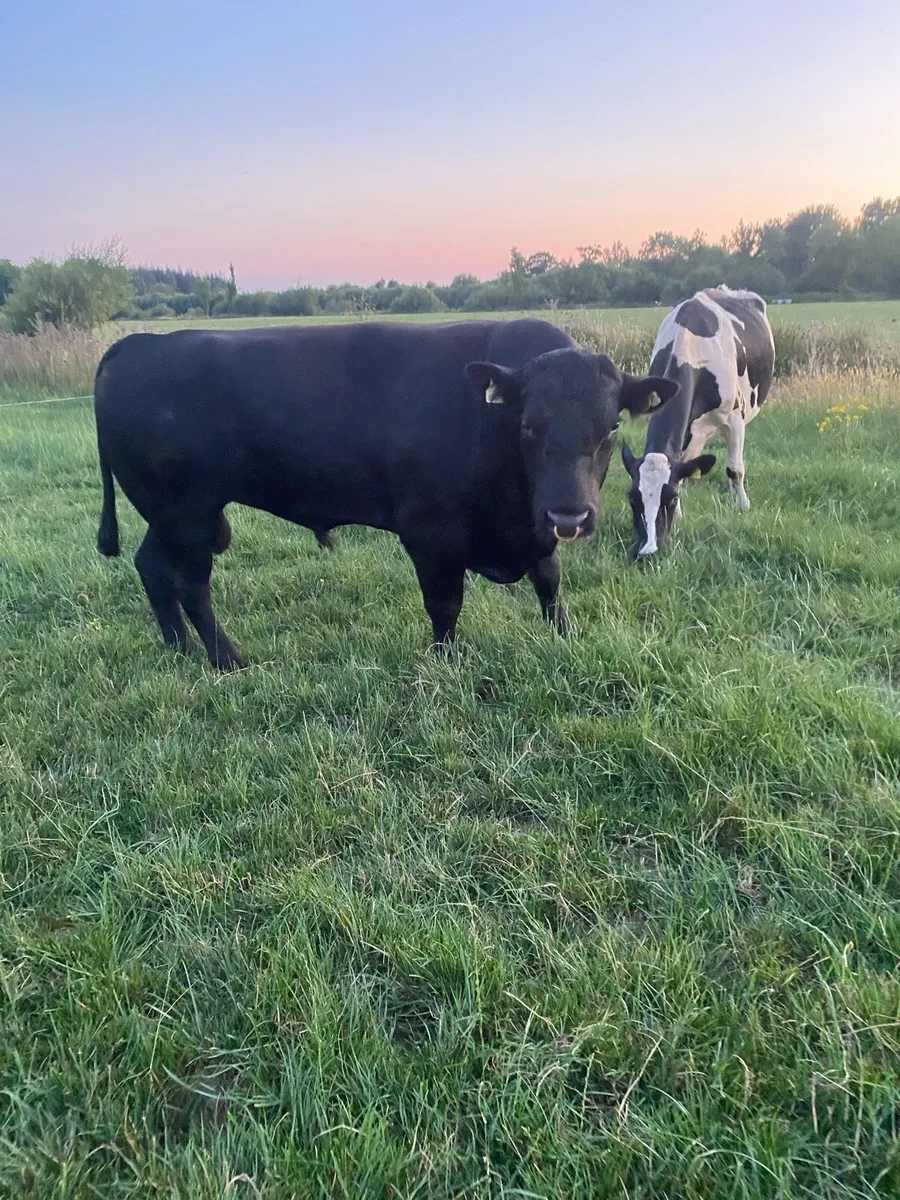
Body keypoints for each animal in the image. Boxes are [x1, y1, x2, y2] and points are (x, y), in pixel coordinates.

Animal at [94, 319, 678, 669]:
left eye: (610, 427)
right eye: (529, 425)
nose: (570, 516)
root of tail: (139, 341)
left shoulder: (534, 529)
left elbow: (550, 584)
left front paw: (564, 639)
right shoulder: (431, 531)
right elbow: (445, 603)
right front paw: (447, 664)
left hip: (169, 514)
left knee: (151, 566)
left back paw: (179, 648)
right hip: (188, 513)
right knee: (192, 585)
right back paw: (227, 661)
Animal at [620, 286, 775, 559]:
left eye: (670, 498)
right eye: (632, 498)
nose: (647, 551)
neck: (690, 352)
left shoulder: (735, 418)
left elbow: (735, 469)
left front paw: (742, 505)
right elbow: (682, 470)